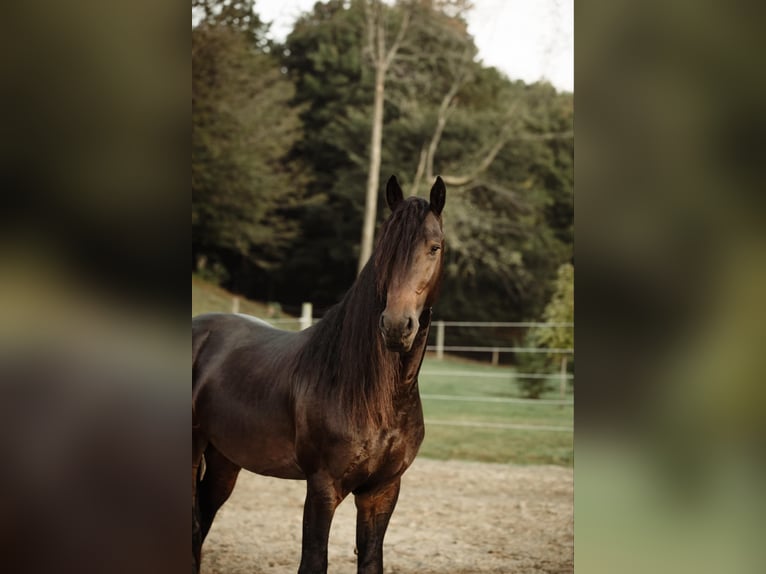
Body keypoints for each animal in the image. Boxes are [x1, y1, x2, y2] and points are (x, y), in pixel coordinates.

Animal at [192, 175, 446, 574]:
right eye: (385, 249)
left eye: (434, 247)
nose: (395, 326)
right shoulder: (323, 486)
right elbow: (314, 560)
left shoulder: (382, 491)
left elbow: (371, 561)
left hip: (223, 461)